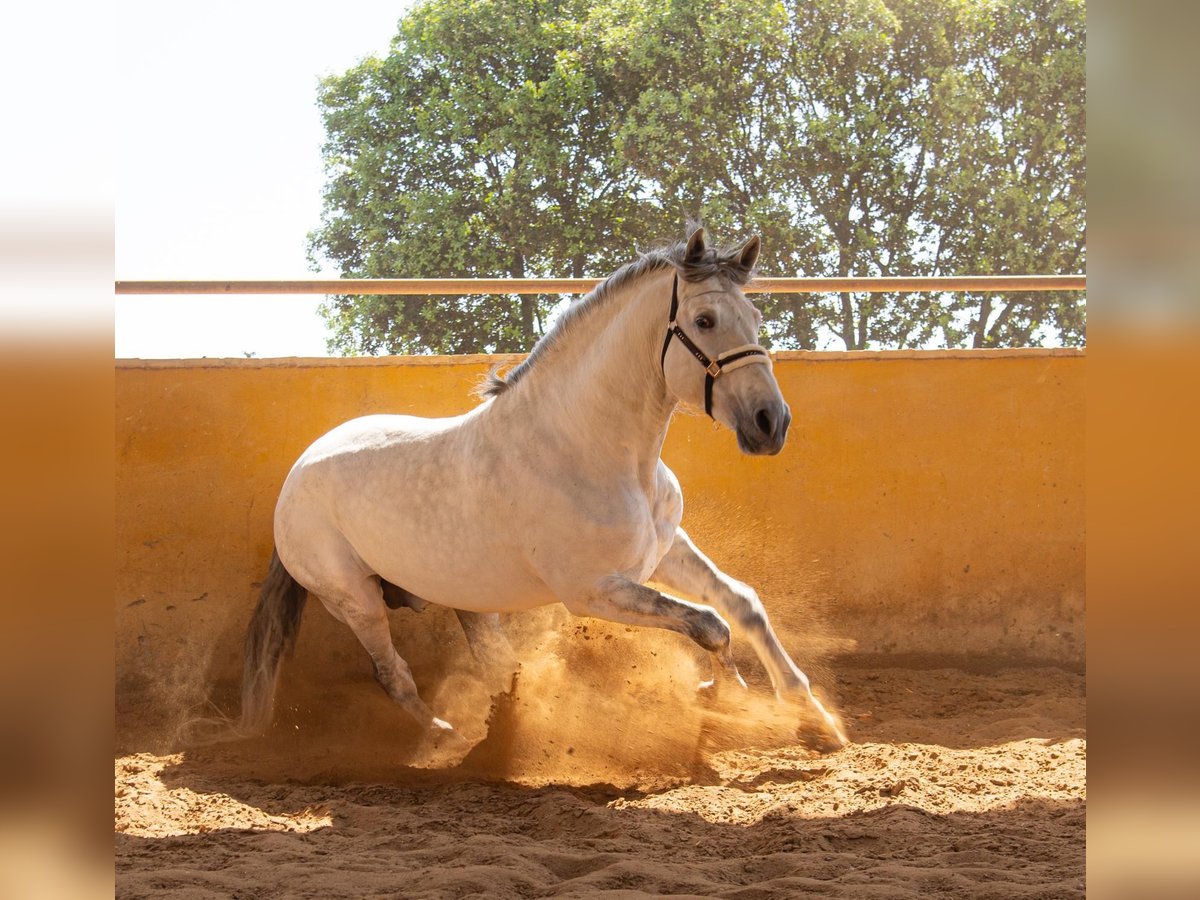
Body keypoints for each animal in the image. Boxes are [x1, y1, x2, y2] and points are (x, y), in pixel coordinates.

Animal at [194, 229, 844, 758]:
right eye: (705, 320)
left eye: (755, 315)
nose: (771, 423)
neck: (593, 450)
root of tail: (296, 476)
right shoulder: (592, 591)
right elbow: (709, 624)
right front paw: (728, 696)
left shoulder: (665, 552)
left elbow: (741, 605)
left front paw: (814, 718)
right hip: (352, 597)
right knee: (393, 673)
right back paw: (446, 738)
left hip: (461, 596)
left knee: (496, 664)